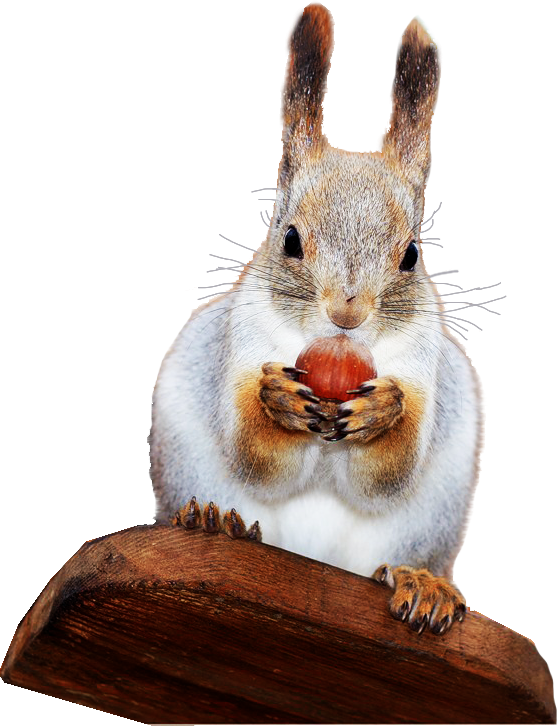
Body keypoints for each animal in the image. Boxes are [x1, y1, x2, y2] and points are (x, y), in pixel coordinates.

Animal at [150, 1, 484, 636]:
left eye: (411, 255)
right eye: (289, 240)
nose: (346, 312)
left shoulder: (423, 359)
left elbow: (391, 470)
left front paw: (384, 409)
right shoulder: (244, 339)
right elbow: (255, 455)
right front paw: (276, 400)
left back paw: (422, 584)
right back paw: (214, 522)